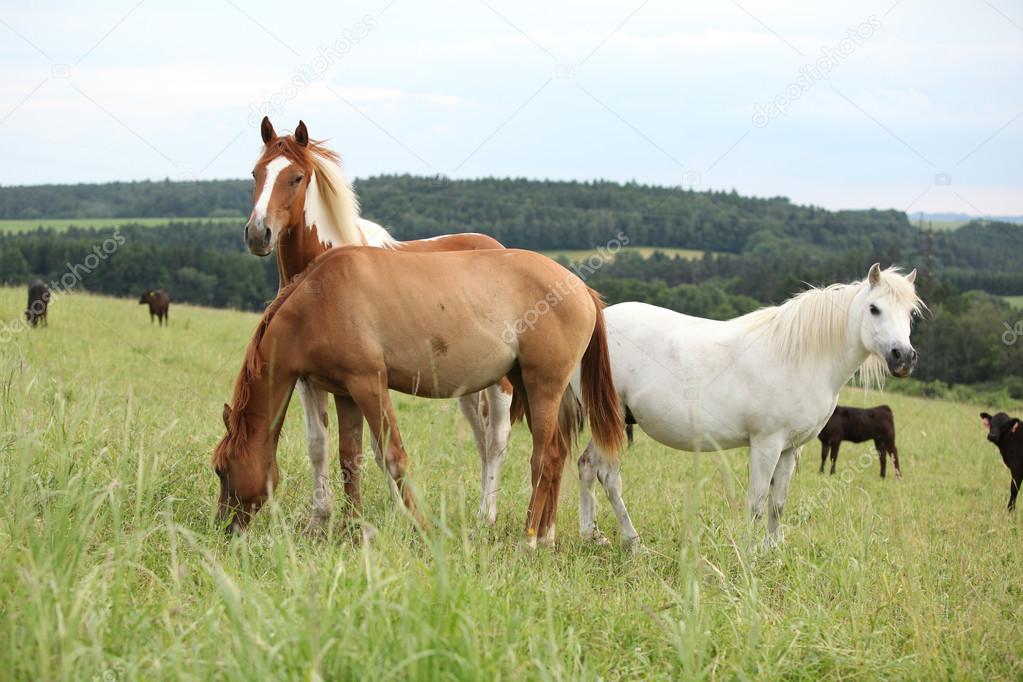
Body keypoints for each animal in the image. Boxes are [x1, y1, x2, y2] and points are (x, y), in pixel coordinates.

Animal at [212, 246, 625, 548]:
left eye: (221, 469)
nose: (223, 527)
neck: (318, 299)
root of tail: (580, 288)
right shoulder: (345, 393)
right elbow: (349, 460)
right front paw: (352, 529)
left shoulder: (368, 384)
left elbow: (393, 458)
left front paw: (422, 529)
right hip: (527, 383)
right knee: (555, 455)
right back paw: (546, 537)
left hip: (543, 387)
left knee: (543, 459)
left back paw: (528, 541)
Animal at [243, 118, 514, 531]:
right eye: (256, 173)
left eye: (297, 177)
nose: (259, 234)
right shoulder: (308, 378)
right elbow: (319, 445)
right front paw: (319, 519)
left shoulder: (367, 376)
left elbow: (374, 445)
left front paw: (398, 513)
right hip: (469, 384)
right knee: (482, 442)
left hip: (500, 382)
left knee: (496, 440)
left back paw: (487, 516)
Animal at [575, 264, 922, 550]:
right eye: (874, 309)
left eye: (910, 313)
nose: (903, 357)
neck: (799, 357)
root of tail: (596, 322)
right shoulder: (766, 444)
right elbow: (756, 501)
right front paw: (747, 554)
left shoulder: (789, 448)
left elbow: (778, 502)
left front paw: (772, 552)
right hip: (613, 419)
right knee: (609, 476)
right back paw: (633, 543)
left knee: (587, 466)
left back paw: (592, 536)